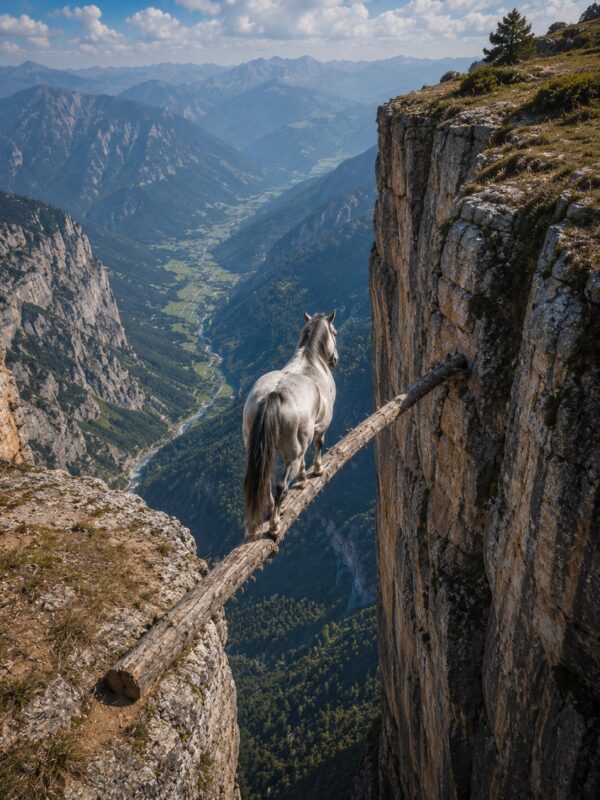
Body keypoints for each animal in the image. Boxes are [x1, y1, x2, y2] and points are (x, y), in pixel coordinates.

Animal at [242, 310, 338, 539]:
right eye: (335, 332)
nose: (335, 360)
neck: (311, 361)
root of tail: (273, 395)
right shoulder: (321, 428)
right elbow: (318, 446)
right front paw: (316, 471)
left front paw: (303, 479)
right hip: (290, 456)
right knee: (280, 487)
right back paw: (275, 525)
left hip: (258, 450)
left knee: (265, 481)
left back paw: (271, 511)